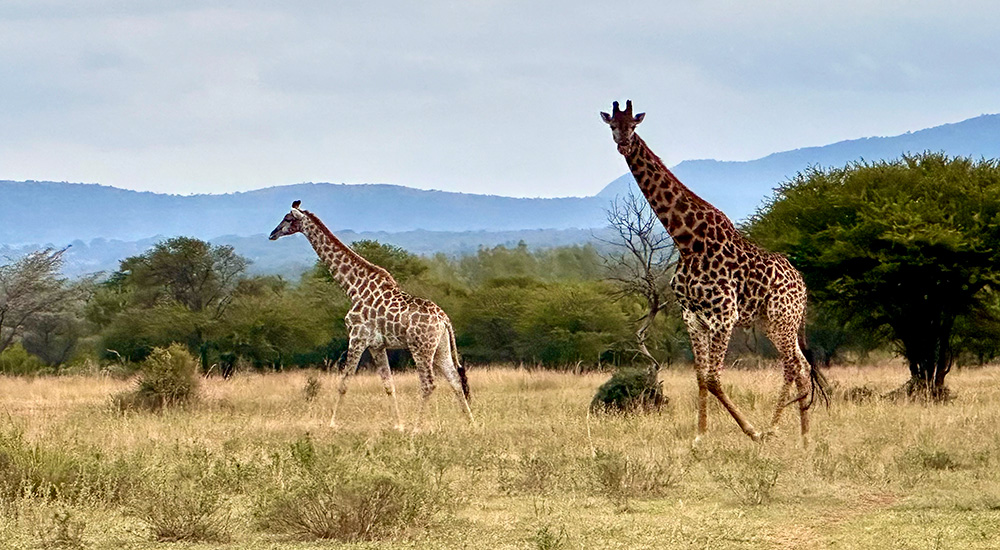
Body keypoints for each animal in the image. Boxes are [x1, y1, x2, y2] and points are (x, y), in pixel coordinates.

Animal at [268, 202, 474, 432]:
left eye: (287, 218)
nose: (272, 233)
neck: (353, 287)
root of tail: (444, 319)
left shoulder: (357, 336)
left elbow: (344, 383)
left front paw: (332, 424)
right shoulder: (377, 345)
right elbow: (388, 386)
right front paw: (398, 426)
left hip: (421, 347)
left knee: (429, 383)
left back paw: (417, 428)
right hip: (441, 347)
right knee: (455, 380)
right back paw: (471, 423)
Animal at [600, 101, 828, 446]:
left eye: (634, 125)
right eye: (613, 125)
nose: (623, 144)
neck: (687, 242)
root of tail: (801, 284)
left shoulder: (724, 314)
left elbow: (714, 378)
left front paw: (751, 431)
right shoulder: (692, 316)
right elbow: (700, 377)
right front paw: (700, 436)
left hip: (782, 318)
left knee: (791, 365)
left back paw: (773, 429)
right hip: (773, 322)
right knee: (801, 365)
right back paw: (804, 438)